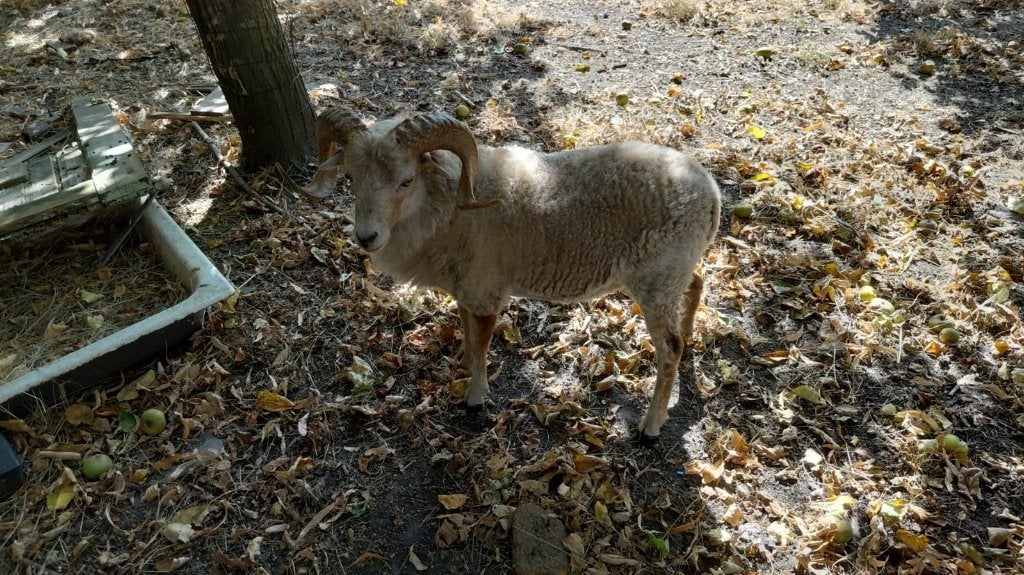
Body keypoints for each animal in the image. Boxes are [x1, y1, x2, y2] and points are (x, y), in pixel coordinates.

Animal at [303, 108, 721, 441]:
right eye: (351, 177)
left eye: (406, 180)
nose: (366, 237)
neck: (451, 208)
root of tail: (711, 191)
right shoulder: (466, 290)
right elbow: (467, 335)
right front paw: (461, 364)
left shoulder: (486, 292)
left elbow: (482, 346)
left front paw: (475, 397)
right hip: (672, 272)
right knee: (696, 284)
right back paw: (689, 334)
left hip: (656, 281)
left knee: (669, 350)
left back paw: (652, 424)